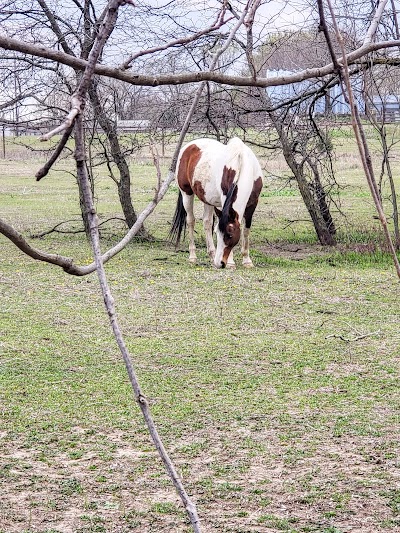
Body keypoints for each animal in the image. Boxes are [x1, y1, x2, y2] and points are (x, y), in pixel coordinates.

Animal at [170, 137, 264, 268]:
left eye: (229, 235)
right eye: (217, 233)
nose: (219, 263)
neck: (243, 165)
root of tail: (188, 147)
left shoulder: (253, 203)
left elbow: (246, 231)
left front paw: (247, 260)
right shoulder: (224, 199)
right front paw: (231, 263)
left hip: (207, 199)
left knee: (207, 222)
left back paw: (211, 255)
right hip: (186, 194)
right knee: (190, 221)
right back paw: (193, 257)